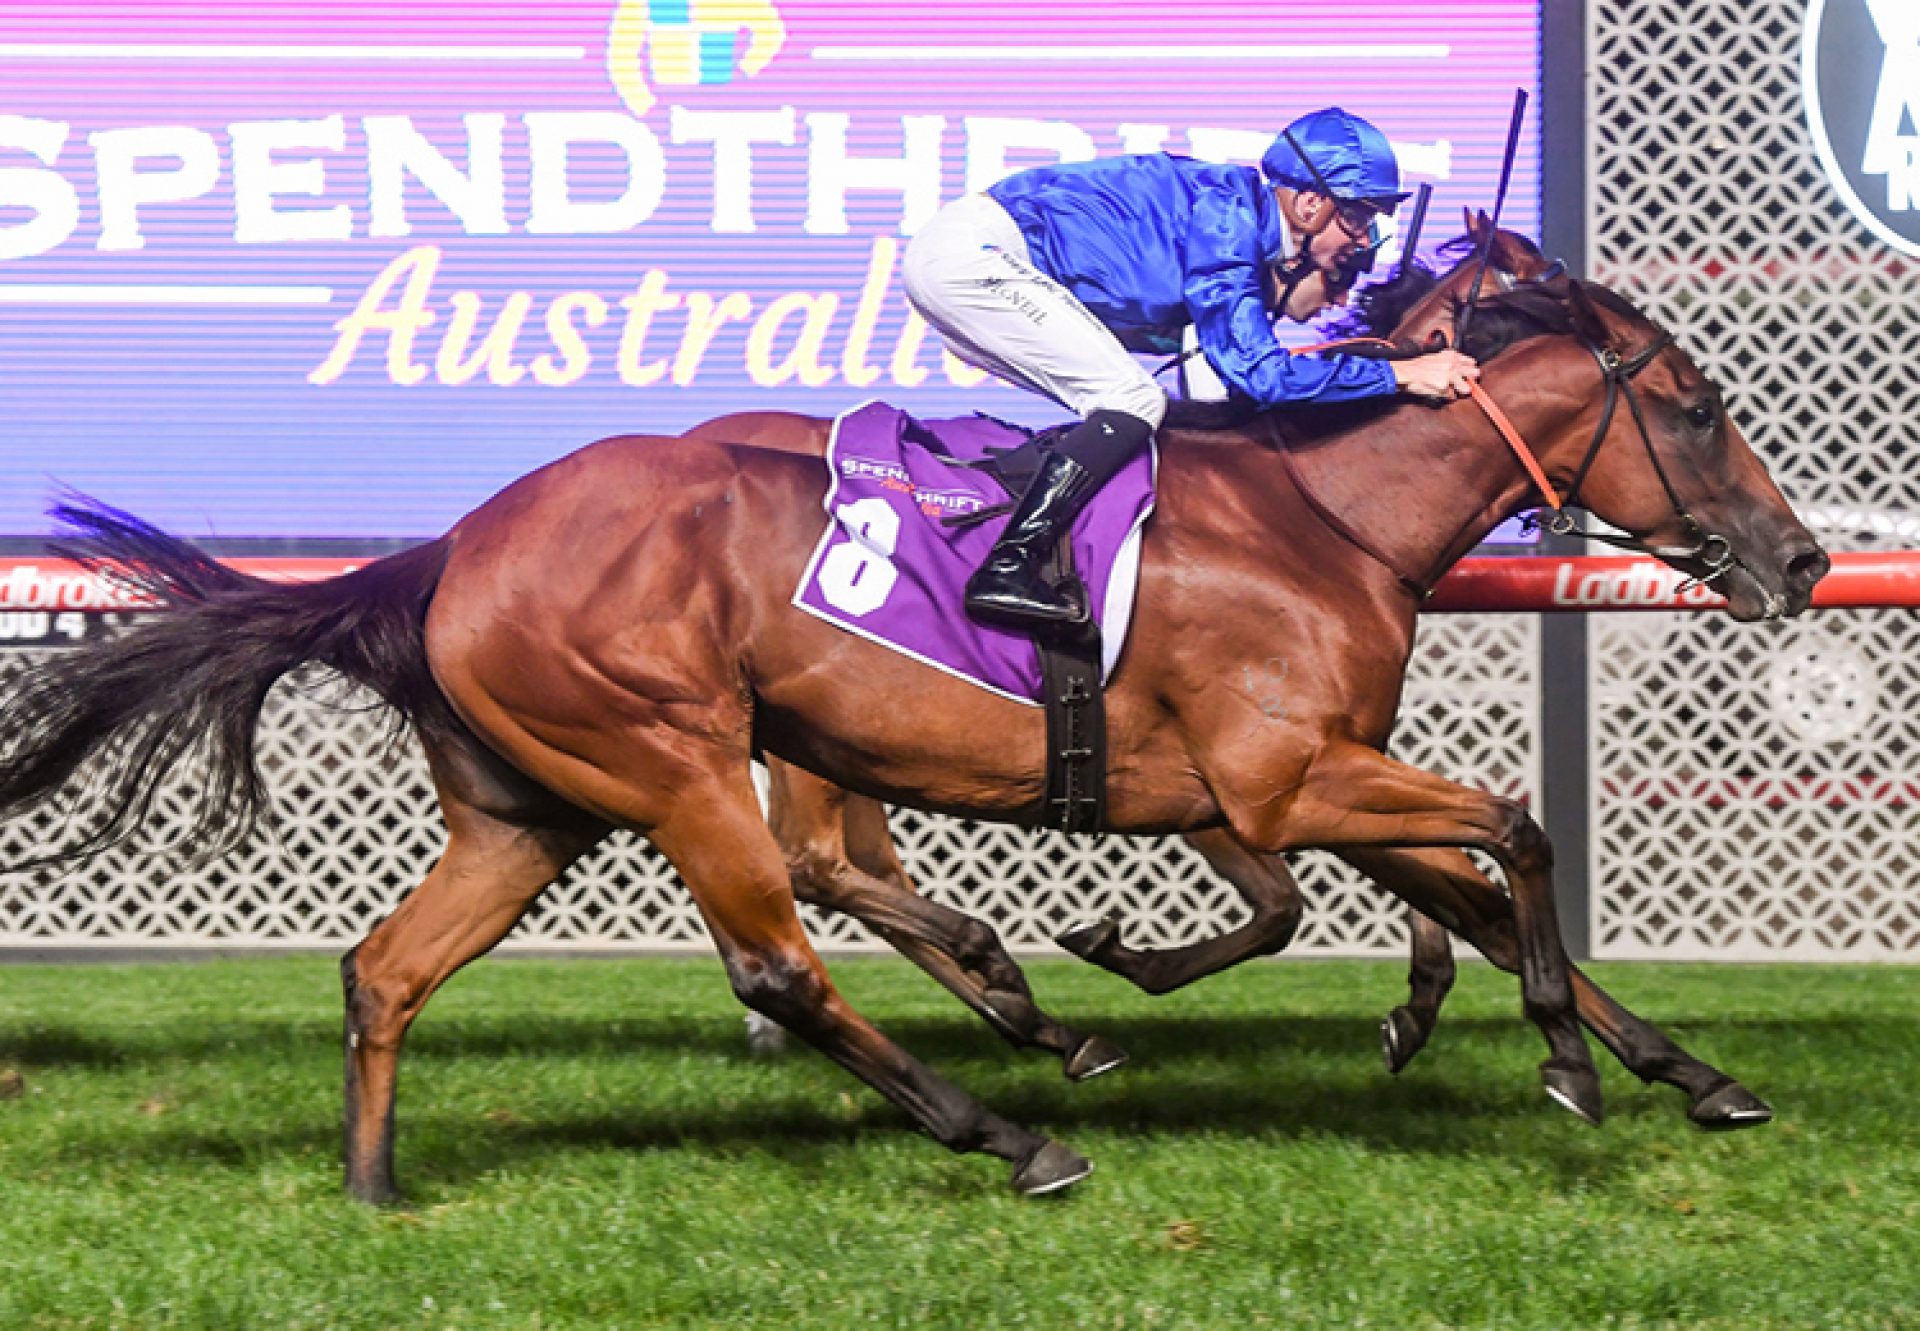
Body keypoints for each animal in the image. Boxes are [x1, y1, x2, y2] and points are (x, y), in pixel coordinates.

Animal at [0, 274, 1827, 1198]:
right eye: (1698, 408)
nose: (1801, 559)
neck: (1329, 519)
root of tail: (450, 546)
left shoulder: (1303, 780)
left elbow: (1470, 887)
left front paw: (1688, 1070)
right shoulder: (1284, 777)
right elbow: (1509, 830)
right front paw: (1567, 1060)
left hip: (532, 804)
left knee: (389, 966)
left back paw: (378, 1186)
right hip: (674, 751)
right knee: (782, 953)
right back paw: (1016, 1123)